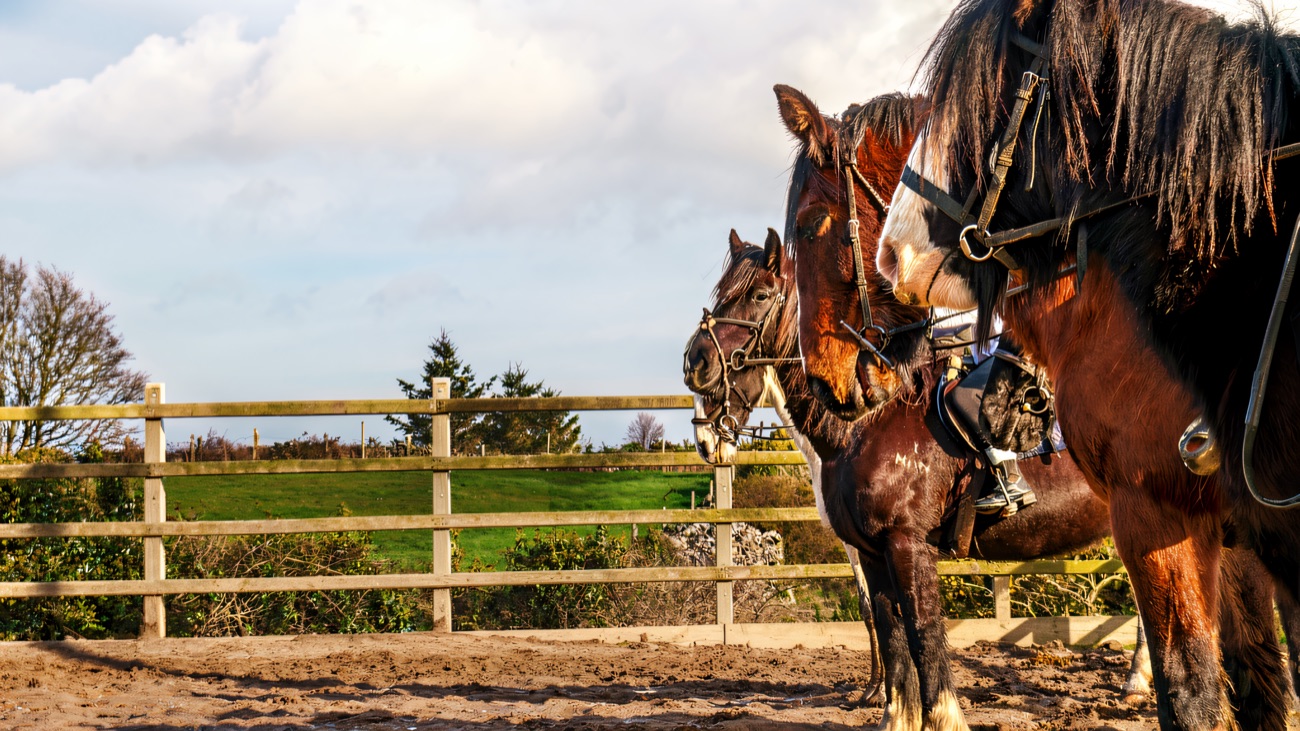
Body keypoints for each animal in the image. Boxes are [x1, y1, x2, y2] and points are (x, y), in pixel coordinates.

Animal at [683, 226, 1141, 731]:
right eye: (722, 294)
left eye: (759, 295)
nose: (695, 363)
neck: (868, 420)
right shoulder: (870, 551)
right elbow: (890, 629)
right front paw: (893, 711)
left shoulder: (906, 544)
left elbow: (923, 632)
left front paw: (943, 716)